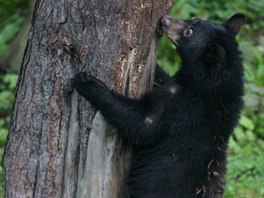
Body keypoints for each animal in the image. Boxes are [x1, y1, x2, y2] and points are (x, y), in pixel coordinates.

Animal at [73, 13, 245, 198]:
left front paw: (87, 82)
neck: (213, 85)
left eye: (188, 32)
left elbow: (143, 123)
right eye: (194, 19)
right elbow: (161, 80)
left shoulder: (184, 107)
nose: (165, 19)